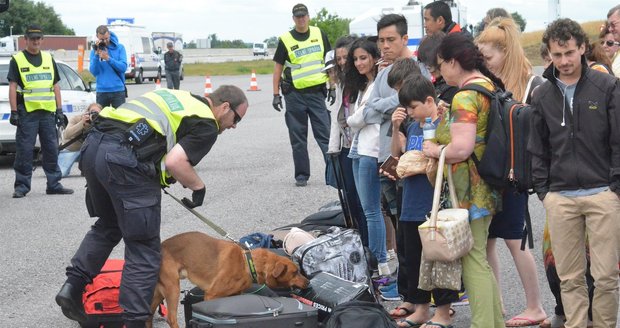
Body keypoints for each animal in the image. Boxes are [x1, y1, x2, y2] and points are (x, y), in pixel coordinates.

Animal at [146, 232, 310, 328]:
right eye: (295, 272)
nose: (308, 282)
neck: (247, 262)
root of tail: (160, 246)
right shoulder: (211, 295)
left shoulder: (233, 295)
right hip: (172, 288)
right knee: (171, 319)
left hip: (159, 292)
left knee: (148, 314)